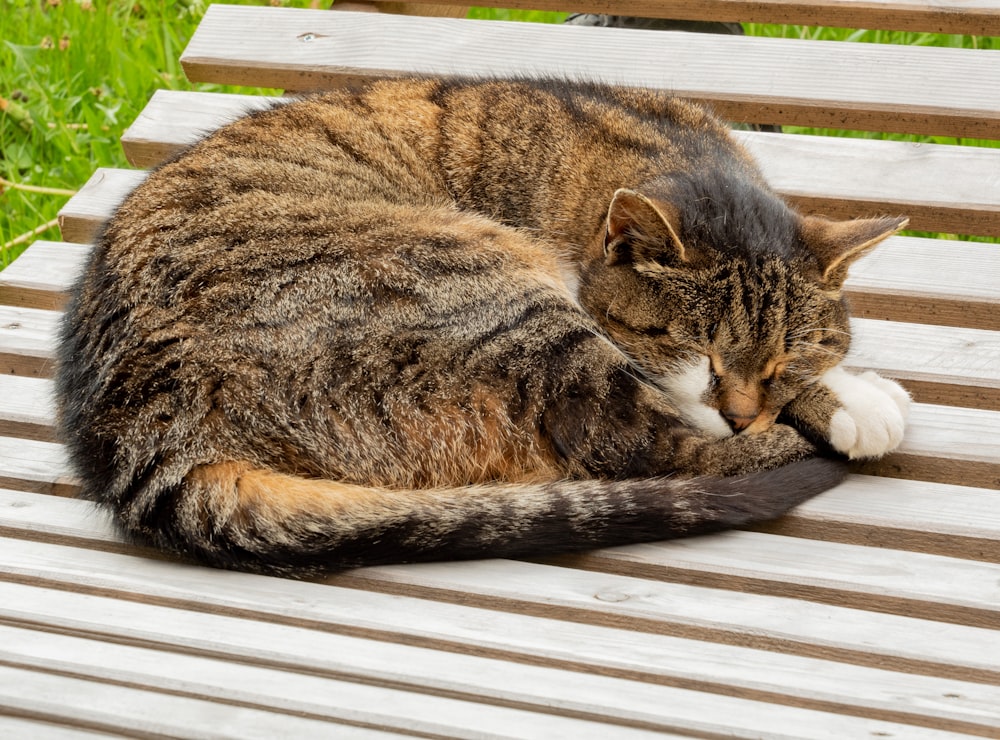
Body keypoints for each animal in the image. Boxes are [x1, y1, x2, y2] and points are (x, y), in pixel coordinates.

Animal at [58, 78, 912, 576]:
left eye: (781, 360)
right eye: (695, 348)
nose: (741, 408)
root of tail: (145, 438)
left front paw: (839, 384)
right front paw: (852, 403)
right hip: (498, 294)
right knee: (649, 445)